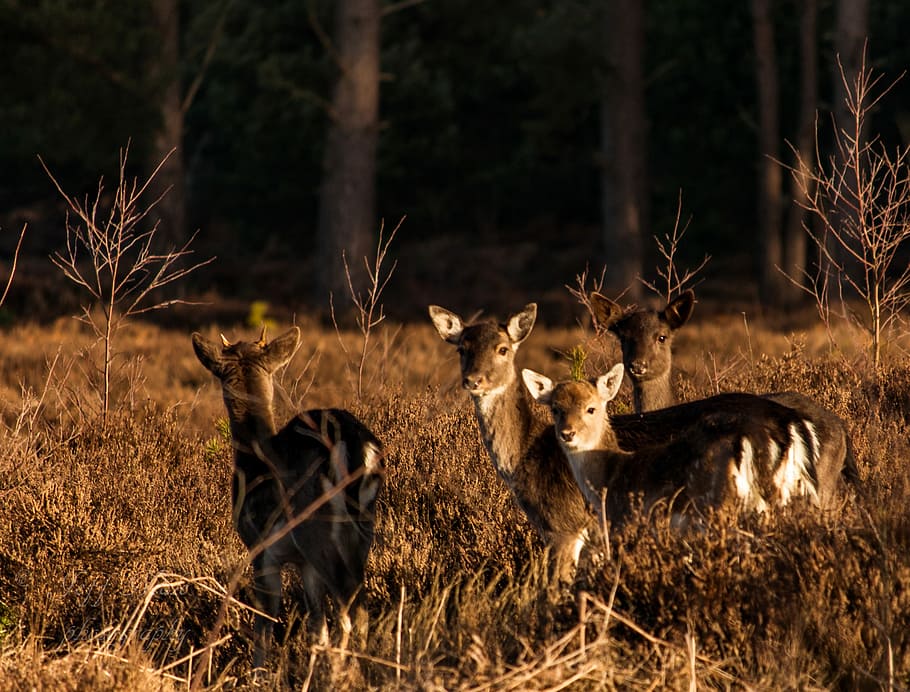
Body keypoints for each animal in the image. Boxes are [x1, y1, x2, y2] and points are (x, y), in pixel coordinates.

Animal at [192, 326, 384, 668]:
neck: (252, 459)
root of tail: (355, 445)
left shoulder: (260, 547)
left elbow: (264, 622)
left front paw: (258, 673)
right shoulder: (303, 564)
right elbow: (316, 626)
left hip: (316, 529)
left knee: (350, 610)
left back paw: (343, 672)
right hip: (363, 527)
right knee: (352, 607)